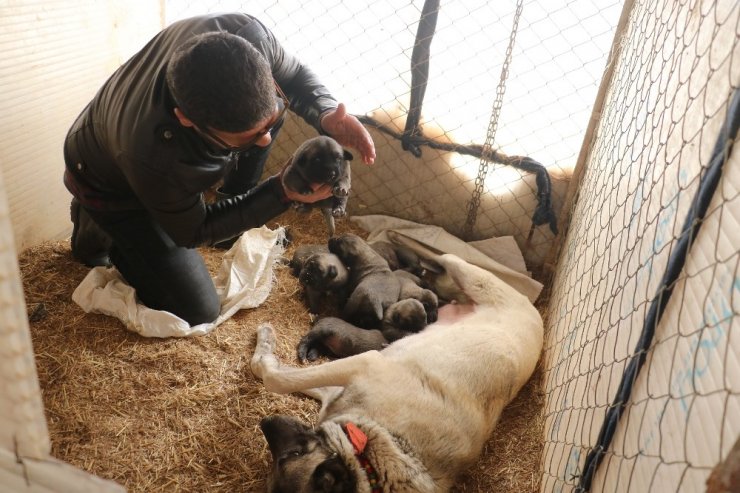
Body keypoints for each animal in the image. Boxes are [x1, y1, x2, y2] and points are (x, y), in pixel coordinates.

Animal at [251, 254, 548, 492]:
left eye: (291, 455)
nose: (265, 421)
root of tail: (537, 317)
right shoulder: (348, 381)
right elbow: (282, 375)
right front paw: (265, 345)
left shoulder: (365, 365)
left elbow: (276, 379)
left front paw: (265, 352)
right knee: (443, 265)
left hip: (475, 280)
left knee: (446, 258)